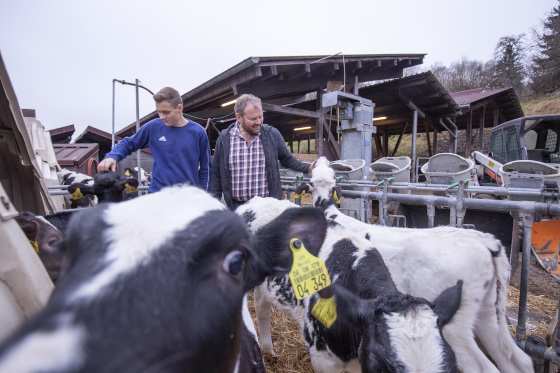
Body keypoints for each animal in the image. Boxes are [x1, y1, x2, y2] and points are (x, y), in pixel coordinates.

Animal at [241, 196, 464, 370]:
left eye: (453, 366)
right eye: (376, 365)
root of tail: (255, 201)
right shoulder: (322, 357)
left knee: (262, 307)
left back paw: (268, 350)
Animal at [294, 156, 532, 372]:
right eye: (317, 177)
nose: (320, 158)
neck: (332, 213)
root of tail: (486, 241)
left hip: (456, 330)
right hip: (487, 313)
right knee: (518, 360)